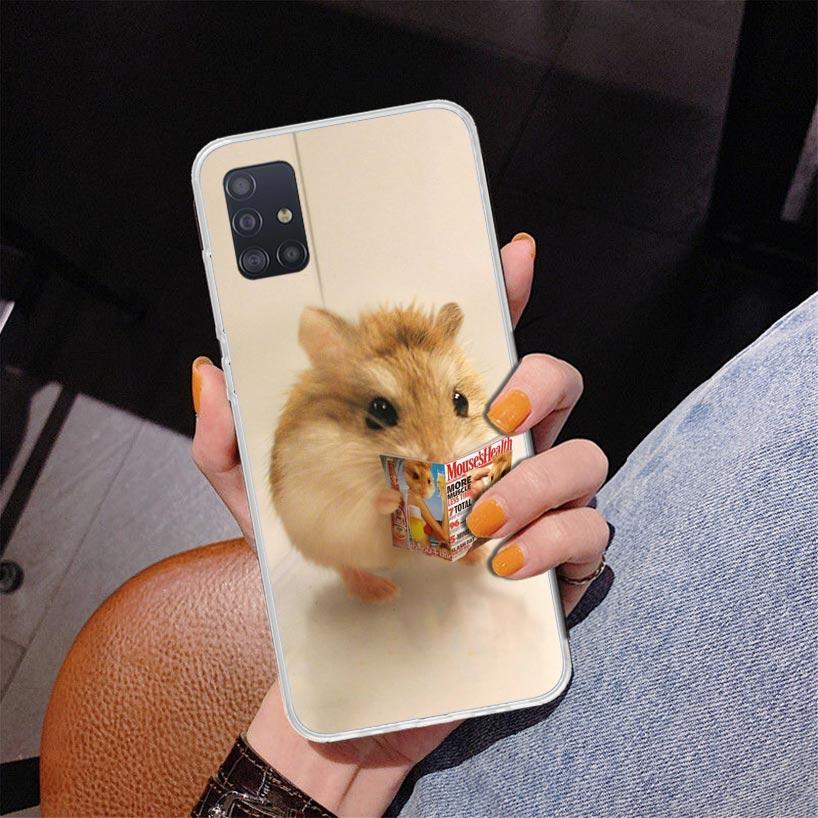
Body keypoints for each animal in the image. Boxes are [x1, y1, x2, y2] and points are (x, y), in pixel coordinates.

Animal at [270, 302, 492, 602]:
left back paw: (477, 556)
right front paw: (392, 497)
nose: (444, 458)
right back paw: (383, 592)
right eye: (380, 410)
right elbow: (371, 502)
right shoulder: (332, 496)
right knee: (345, 567)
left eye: (462, 401)